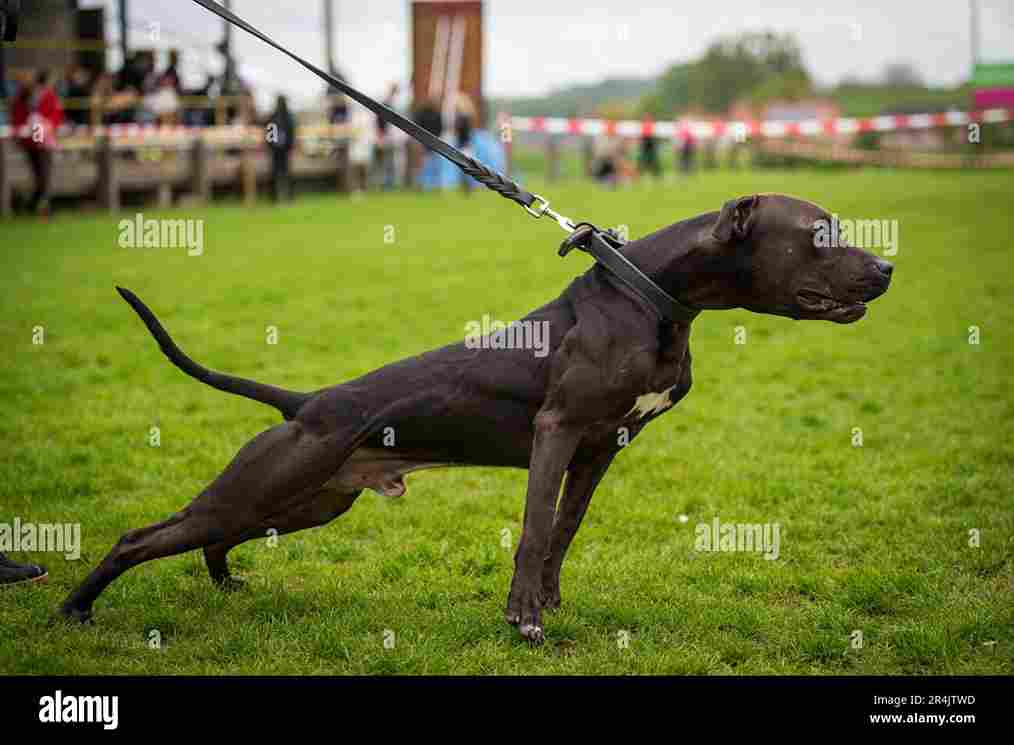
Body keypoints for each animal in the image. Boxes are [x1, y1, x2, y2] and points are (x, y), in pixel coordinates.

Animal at [59, 195, 892, 644]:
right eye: (821, 234)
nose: (887, 268)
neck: (653, 295)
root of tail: (306, 402)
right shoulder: (557, 431)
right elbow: (532, 527)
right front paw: (524, 619)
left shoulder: (602, 448)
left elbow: (563, 529)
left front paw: (548, 600)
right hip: (267, 485)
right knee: (144, 536)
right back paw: (74, 608)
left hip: (311, 501)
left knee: (214, 535)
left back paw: (224, 582)